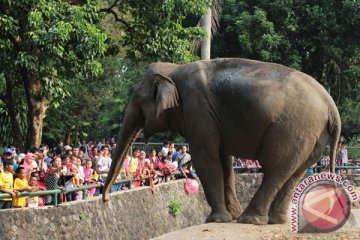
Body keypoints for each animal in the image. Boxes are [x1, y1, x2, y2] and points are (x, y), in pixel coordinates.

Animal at [101, 58, 340, 225]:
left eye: (137, 98)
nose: (105, 200)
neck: (175, 69)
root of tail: (330, 104)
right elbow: (224, 161)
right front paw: (229, 215)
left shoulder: (198, 109)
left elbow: (206, 158)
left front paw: (216, 219)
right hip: (313, 134)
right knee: (295, 172)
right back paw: (273, 220)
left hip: (293, 127)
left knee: (275, 169)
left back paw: (250, 219)